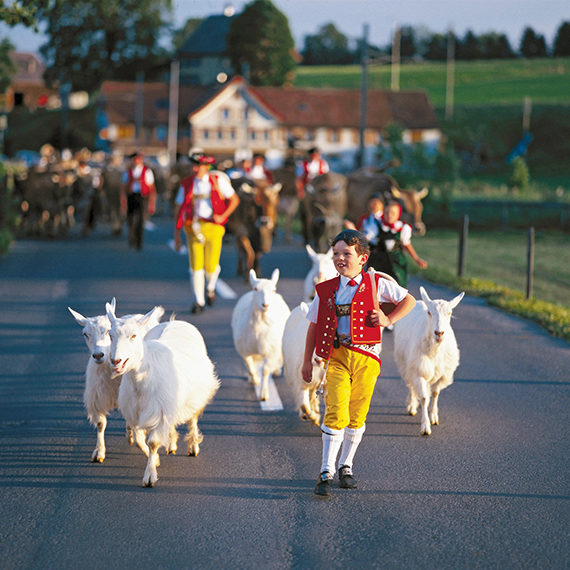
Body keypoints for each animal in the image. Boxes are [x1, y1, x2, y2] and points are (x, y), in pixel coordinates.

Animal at [231, 270, 290, 400]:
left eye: (273, 289)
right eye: (255, 288)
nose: (265, 305)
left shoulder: (271, 351)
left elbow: (265, 370)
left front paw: (263, 394)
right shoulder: (245, 351)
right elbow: (251, 367)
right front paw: (255, 380)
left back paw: (276, 370)